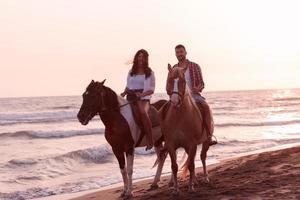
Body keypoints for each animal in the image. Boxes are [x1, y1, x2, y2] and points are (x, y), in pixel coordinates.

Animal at [157, 66, 211, 195]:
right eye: (169, 80)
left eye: (183, 81)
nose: (175, 100)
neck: (180, 118)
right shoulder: (171, 145)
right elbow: (174, 166)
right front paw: (176, 189)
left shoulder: (192, 144)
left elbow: (191, 165)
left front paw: (191, 187)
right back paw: (195, 180)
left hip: (205, 142)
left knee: (202, 157)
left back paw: (205, 178)